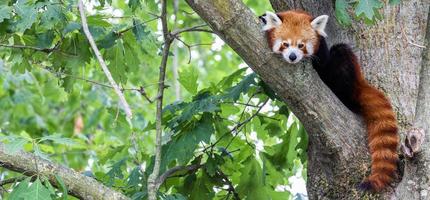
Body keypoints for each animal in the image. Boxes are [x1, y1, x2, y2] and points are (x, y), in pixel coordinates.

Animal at [260, 10, 402, 191]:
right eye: (285, 44)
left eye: (301, 45)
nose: (293, 57)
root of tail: (359, 83)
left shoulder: (323, 52)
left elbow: (324, 62)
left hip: (347, 74)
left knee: (341, 52)